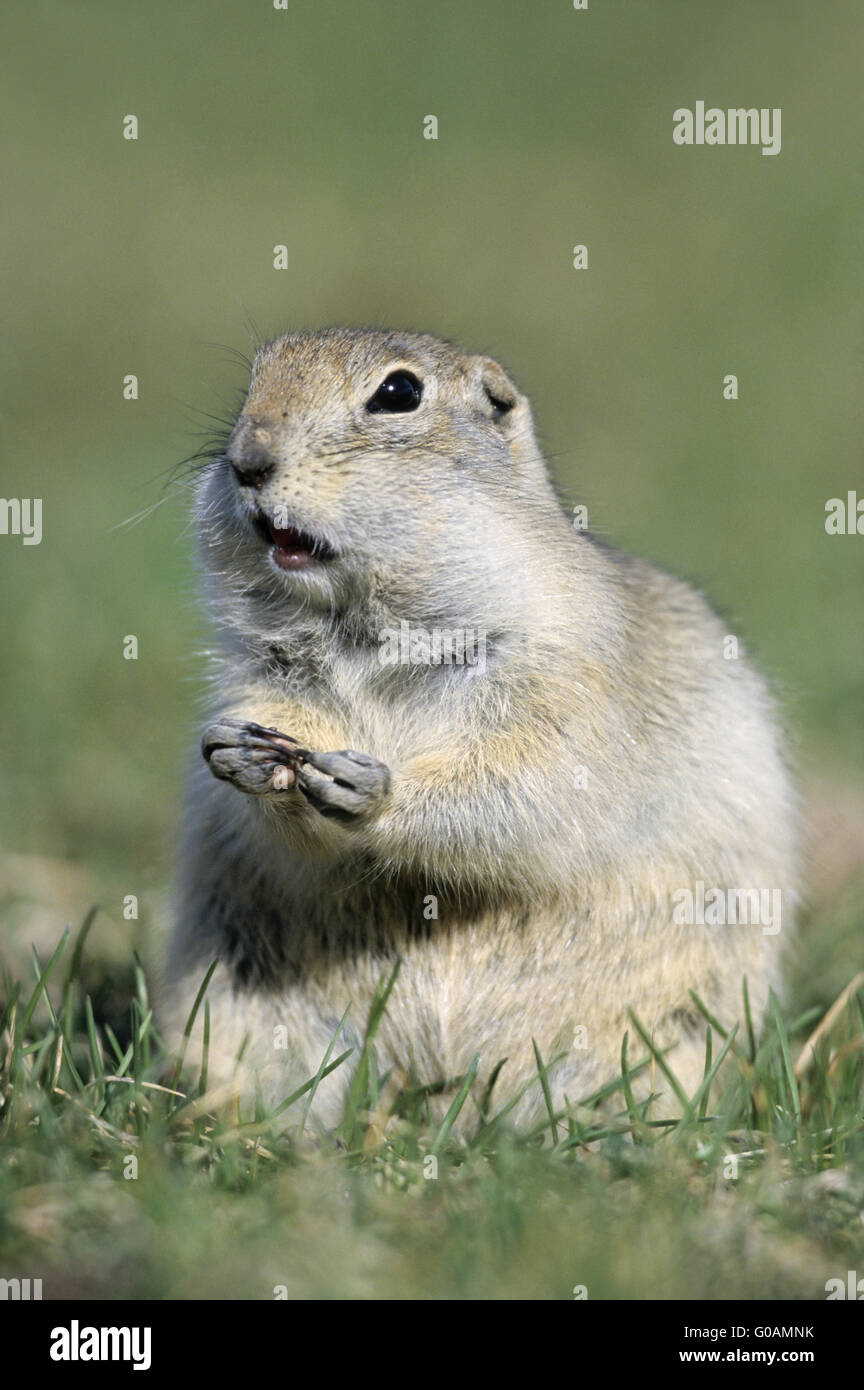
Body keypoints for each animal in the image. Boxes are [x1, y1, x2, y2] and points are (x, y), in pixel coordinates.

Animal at [159, 327, 797, 1133]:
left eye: (399, 392)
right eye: (255, 377)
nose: (247, 459)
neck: (367, 635)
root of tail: (436, 1093)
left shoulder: (562, 677)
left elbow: (527, 788)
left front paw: (370, 789)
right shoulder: (261, 678)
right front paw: (239, 755)